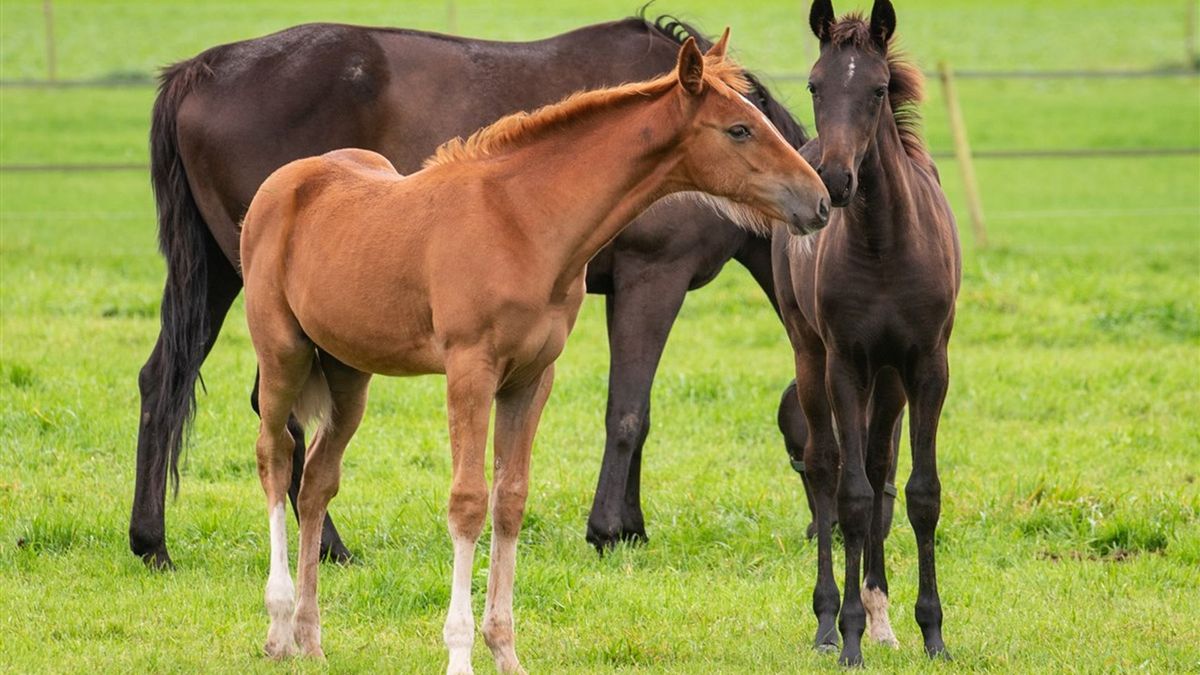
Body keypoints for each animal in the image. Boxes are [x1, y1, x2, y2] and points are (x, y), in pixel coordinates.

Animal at [132, 16, 848, 569]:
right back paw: (327, 547)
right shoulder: (654, 275)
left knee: (162, 380)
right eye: (739, 130)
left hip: (224, 278)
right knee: (271, 412)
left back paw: (152, 543)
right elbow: (628, 411)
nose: (819, 200)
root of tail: (199, 70)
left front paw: (631, 526)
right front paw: (611, 531)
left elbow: (629, 414)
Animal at [240, 35, 829, 669]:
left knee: (317, 482)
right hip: (282, 354)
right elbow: (468, 501)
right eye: (740, 129)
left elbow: (511, 500)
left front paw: (505, 652)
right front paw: (459, 653)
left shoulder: (531, 378)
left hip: (348, 373)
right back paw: (278, 630)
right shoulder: (469, 370)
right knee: (275, 458)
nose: (820, 201)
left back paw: (311, 639)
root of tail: (284, 182)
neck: (522, 221)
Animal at [772, 0, 961, 666]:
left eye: (878, 90)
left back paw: (883, 618)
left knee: (880, 468)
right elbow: (850, 496)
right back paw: (830, 623)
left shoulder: (927, 365)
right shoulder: (846, 365)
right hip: (810, 355)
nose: (833, 181)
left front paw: (932, 632)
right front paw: (847, 634)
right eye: (814, 85)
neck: (883, 243)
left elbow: (919, 492)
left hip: (890, 378)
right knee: (827, 470)